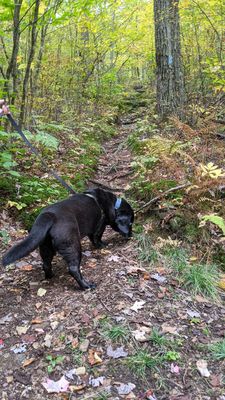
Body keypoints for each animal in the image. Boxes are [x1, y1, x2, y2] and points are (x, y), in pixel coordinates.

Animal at [1, 189, 134, 290]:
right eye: (131, 223)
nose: (131, 235)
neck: (113, 205)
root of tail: (50, 216)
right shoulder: (99, 227)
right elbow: (97, 238)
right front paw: (102, 245)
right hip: (73, 245)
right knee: (74, 269)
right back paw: (86, 285)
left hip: (45, 247)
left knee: (46, 264)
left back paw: (50, 276)